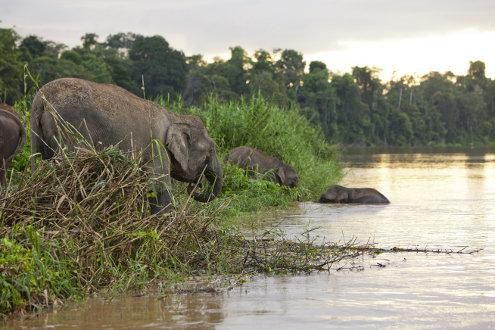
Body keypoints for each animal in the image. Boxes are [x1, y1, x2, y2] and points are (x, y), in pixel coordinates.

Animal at [30, 76, 223, 214]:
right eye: (211, 149)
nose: (196, 186)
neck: (175, 117)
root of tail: (41, 100)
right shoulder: (157, 147)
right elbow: (159, 188)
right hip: (70, 129)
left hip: (37, 135)